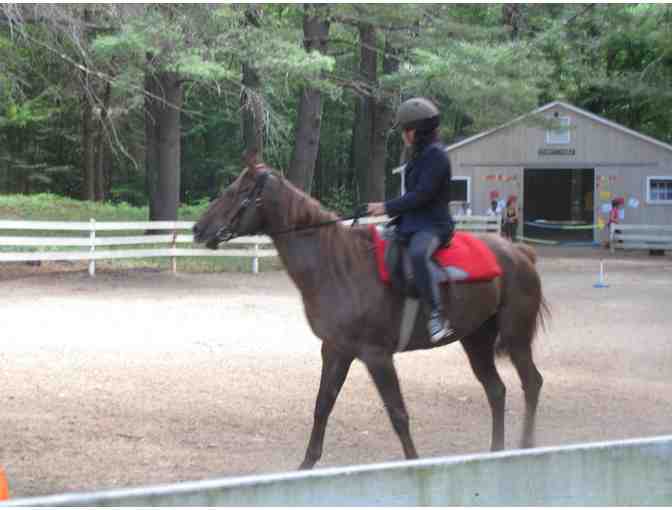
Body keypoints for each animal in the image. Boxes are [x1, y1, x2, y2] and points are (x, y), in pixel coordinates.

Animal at [193, 156, 549, 470]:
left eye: (236, 191)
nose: (198, 229)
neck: (339, 265)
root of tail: (520, 252)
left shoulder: (377, 356)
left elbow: (398, 414)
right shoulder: (335, 349)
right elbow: (323, 405)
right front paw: (306, 465)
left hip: (515, 338)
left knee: (531, 382)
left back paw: (526, 446)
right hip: (476, 340)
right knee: (496, 390)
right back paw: (497, 452)